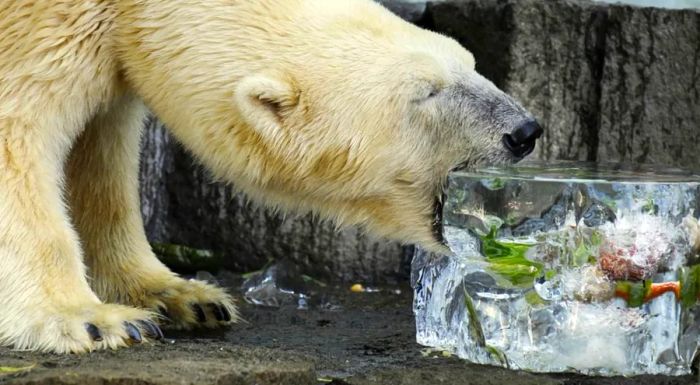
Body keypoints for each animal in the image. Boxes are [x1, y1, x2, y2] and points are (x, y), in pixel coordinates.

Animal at [0, 0, 540, 352]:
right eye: (425, 92)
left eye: (469, 62)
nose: (524, 131)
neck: (120, 5)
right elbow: (18, 135)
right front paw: (90, 321)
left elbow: (100, 155)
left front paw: (182, 296)